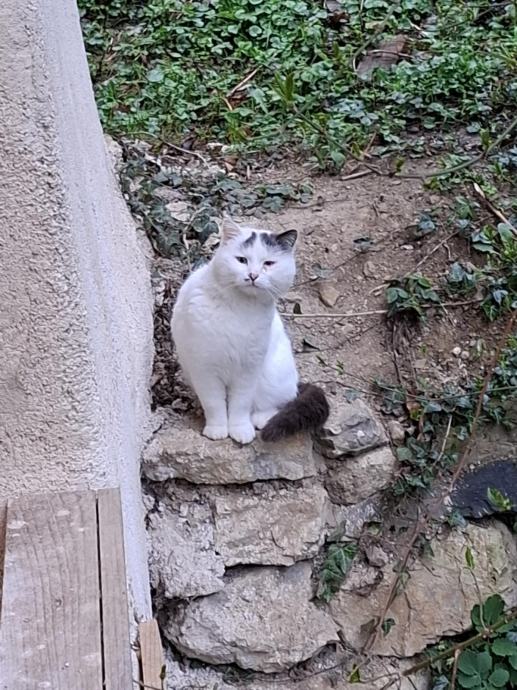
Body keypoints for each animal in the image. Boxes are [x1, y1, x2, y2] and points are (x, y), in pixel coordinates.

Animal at [171, 217, 329, 444]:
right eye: (242, 260)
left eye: (268, 264)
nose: (253, 275)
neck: (240, 307)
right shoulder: (205, 368)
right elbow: (214, 404)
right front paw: (217, 429)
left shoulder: (248, 368)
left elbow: (240, 405)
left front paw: (240, 429)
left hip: (272, 377)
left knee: (278, 402)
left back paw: (260, 420)